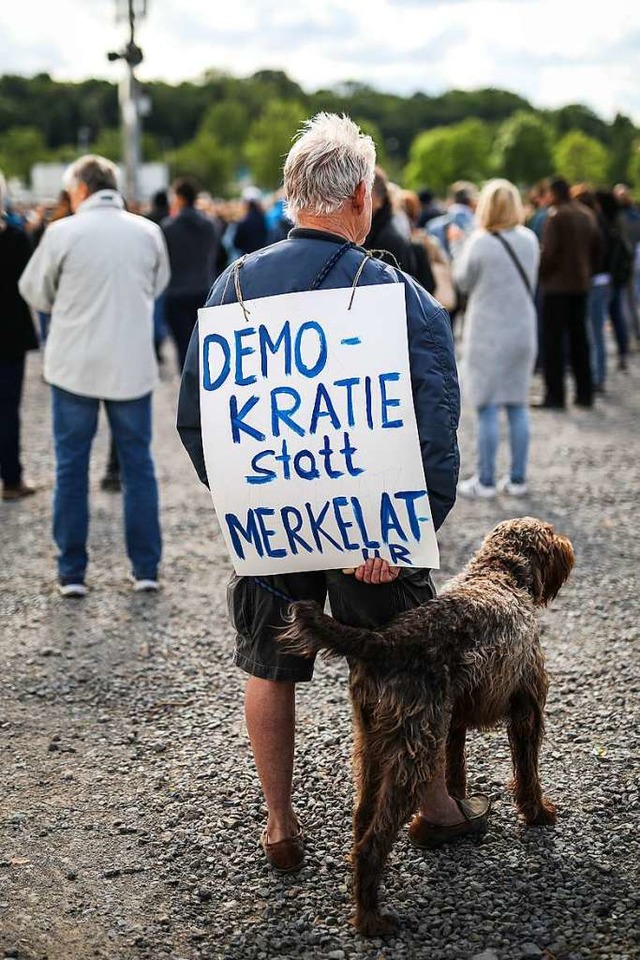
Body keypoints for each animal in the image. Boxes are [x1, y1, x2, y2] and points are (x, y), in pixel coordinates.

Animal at [280, 516, 576, 936]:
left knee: (362, 820)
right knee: (373, 845)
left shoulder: (452, 723)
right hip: (413, 755)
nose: (568, 545)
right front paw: (537, 814)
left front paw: (459, 805)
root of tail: (384, 640)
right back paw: (371, 918)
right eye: (550, 534)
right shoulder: (527, 711)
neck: (499, 573)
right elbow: (528, 772)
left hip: (373, 745)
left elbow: (455, 770)